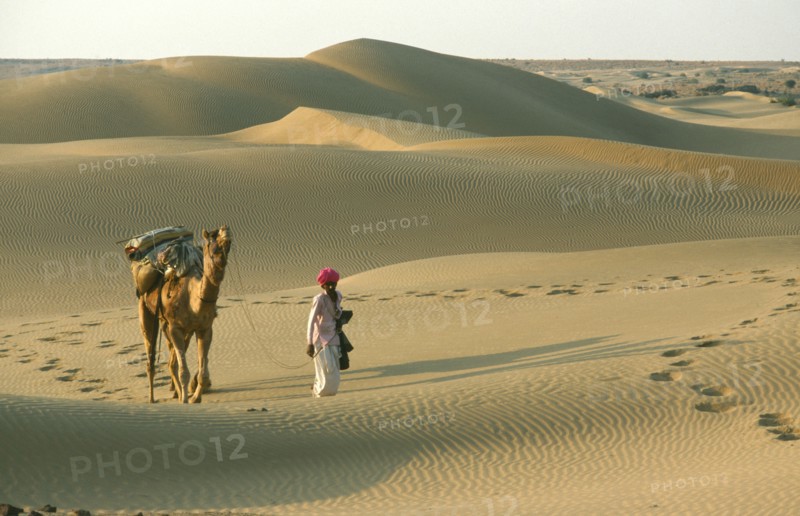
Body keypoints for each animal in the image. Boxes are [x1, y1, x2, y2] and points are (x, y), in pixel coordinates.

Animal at [138, 225, 232, 403]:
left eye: (230, 243)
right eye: (212, 239)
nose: (226, 229)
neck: (194, 299)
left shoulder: (205, 328)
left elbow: (202, 373)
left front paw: (195, 398)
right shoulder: (176, 328)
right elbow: (183, 372)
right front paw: (185, 401)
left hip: (173, 327)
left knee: (171, 361)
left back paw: (176, 392)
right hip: (145, 310)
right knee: (151, 357)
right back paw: (153, 398)